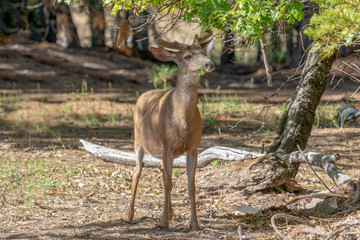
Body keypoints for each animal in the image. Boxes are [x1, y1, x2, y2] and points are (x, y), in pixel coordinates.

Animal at [124, 31, 214, 230]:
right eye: (187, 56)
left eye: (204, 52)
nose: (209, 64)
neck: (181, 122)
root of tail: (144, 94)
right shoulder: (166, 145)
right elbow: (168, 184)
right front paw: (163, 222)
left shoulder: (193, 147)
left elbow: (190, 185)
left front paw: (194, 224)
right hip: (138, 140)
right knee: (137, 171)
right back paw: (128, 215)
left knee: (160, 169)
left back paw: (172, 212)